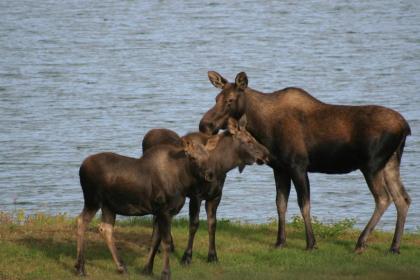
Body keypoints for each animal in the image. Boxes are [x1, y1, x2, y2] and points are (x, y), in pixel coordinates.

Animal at [143, 118, 270, 264]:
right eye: (249, 141)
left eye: (254, 138)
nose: (267, 154)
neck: (220, 167)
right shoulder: (196, 196)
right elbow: (194, 224)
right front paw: (187, 257)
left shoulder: (215, 196)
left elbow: (212, 224)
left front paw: (212, 256)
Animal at [199, 70, 412, 254]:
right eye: (216, 98)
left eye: (230, 100)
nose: (205, 125)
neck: (262, 128)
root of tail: (405, 127)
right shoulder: (280, 168)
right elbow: (280, 204)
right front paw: (280, 242)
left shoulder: (298, 165)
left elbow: (304, 204)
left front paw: (311, 243)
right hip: (390, 163)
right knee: (403, 198)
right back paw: (394, 247)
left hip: (371, 165)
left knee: (383, 198)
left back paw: (361, 242)